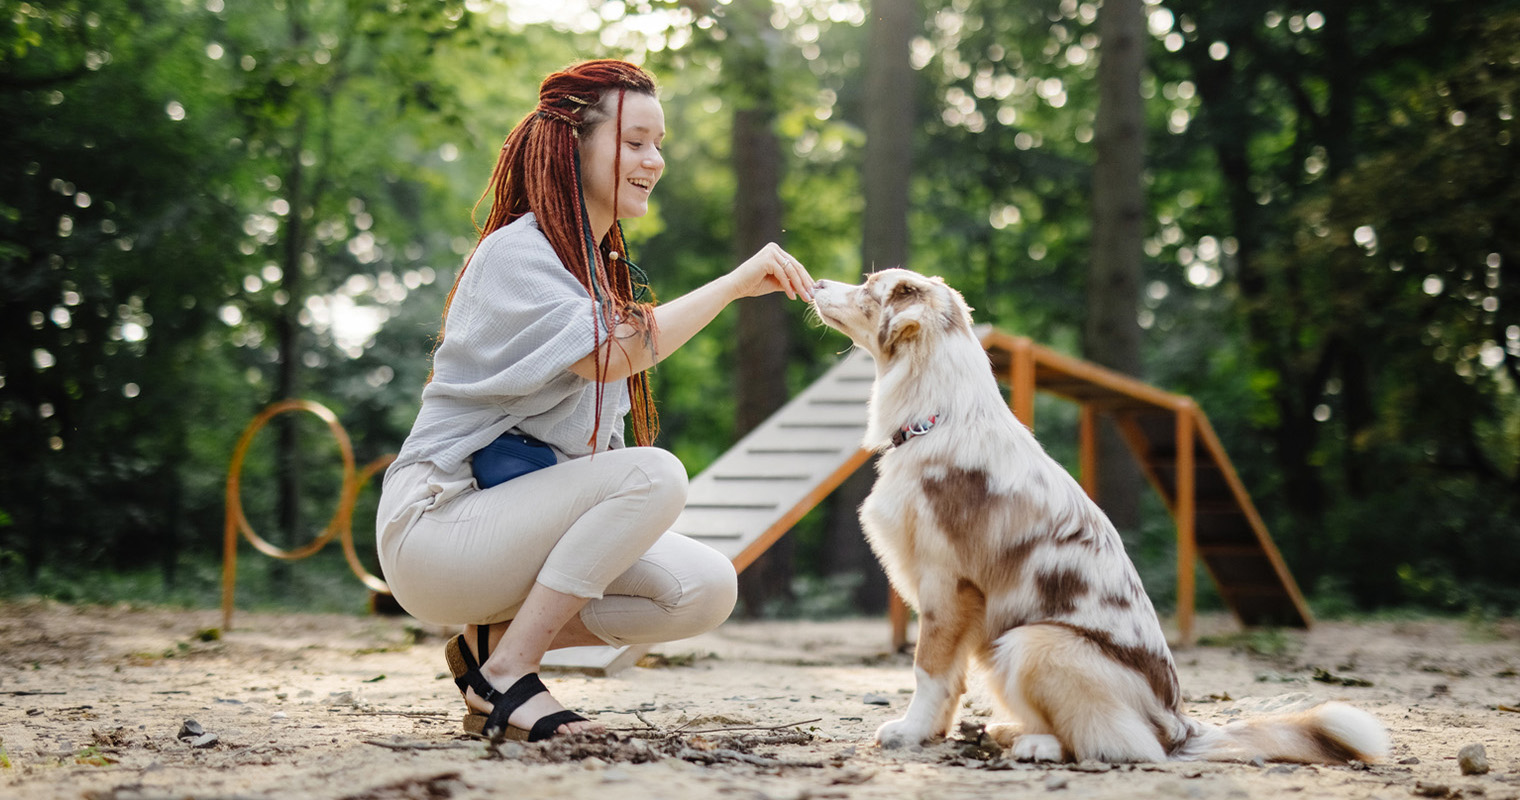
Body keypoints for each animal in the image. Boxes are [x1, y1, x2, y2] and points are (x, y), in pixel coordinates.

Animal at [814, 269, 1392, 766]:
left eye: (868, 286)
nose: (816, 281)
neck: (937, 417)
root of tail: (1181, 725)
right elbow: (951, 680)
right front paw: (930, 734)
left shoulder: (948, 585)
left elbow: (928, 670)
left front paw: (909, 733)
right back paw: (1009, 731)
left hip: (1033, 642)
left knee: (1123, 745)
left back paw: (1036, 745)